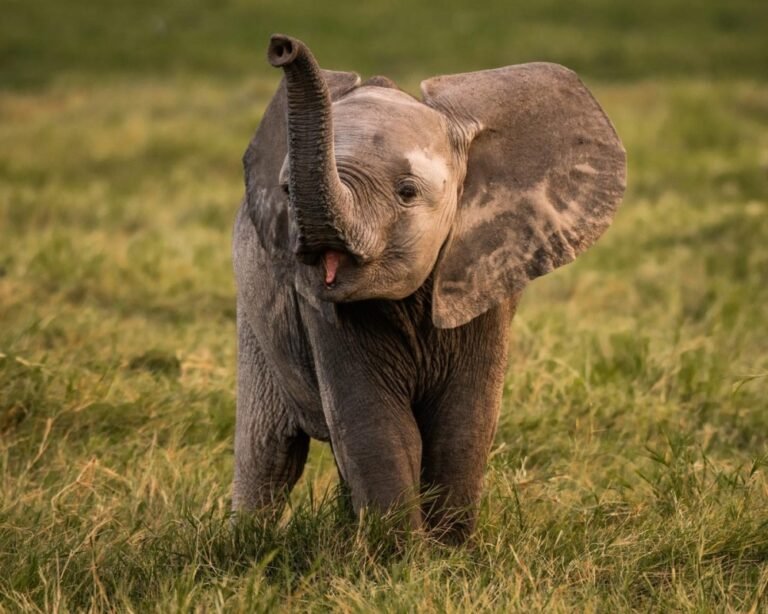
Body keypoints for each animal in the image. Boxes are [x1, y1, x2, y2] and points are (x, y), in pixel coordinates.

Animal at [232, 34, 626, 542]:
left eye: (407, 192)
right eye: (286, 193)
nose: (282, 46)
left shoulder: (486, 276)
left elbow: (463, 418)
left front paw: (450, 554)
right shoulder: (318, 305)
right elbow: (376, 424)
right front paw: (400, 558)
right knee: (267, 450)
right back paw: (247, 545)